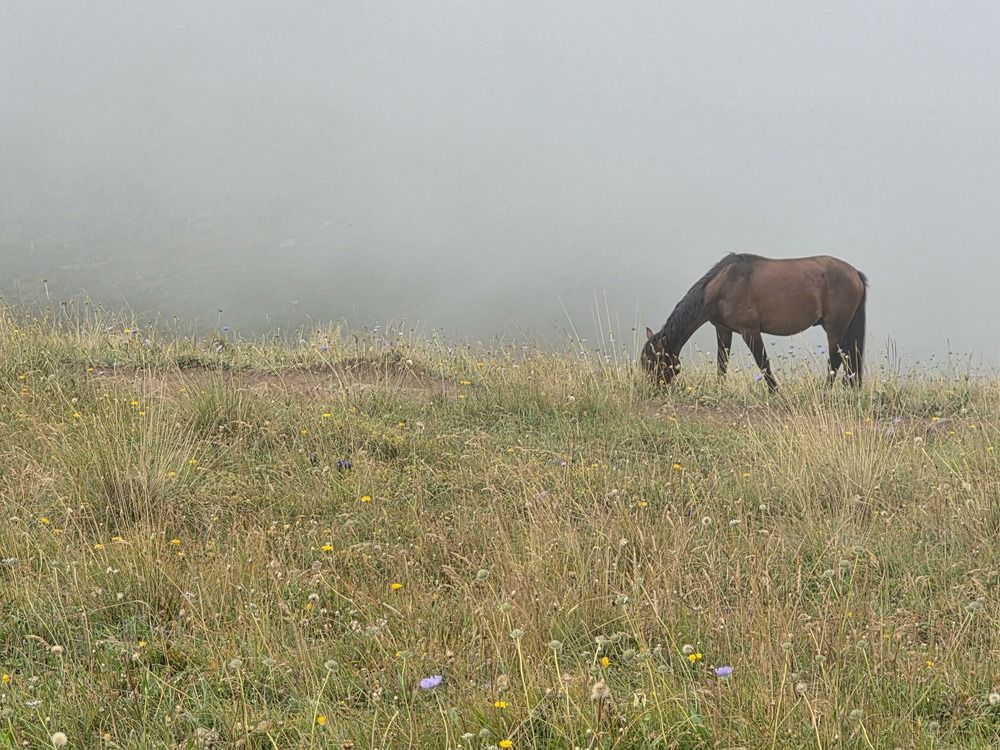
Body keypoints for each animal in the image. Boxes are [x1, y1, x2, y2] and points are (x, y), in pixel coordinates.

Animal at [641, 253, 867, 390]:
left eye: (655, 363)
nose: (652, 391)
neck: (724, 286)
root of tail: (855, 273)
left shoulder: (750, 331)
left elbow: (763, 362)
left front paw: (775, 391)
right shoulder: (723, 329)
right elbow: (722, 362)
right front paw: (719, 388)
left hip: (835, 327)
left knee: (836, 358)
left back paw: (824, 390)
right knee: (850, 356)